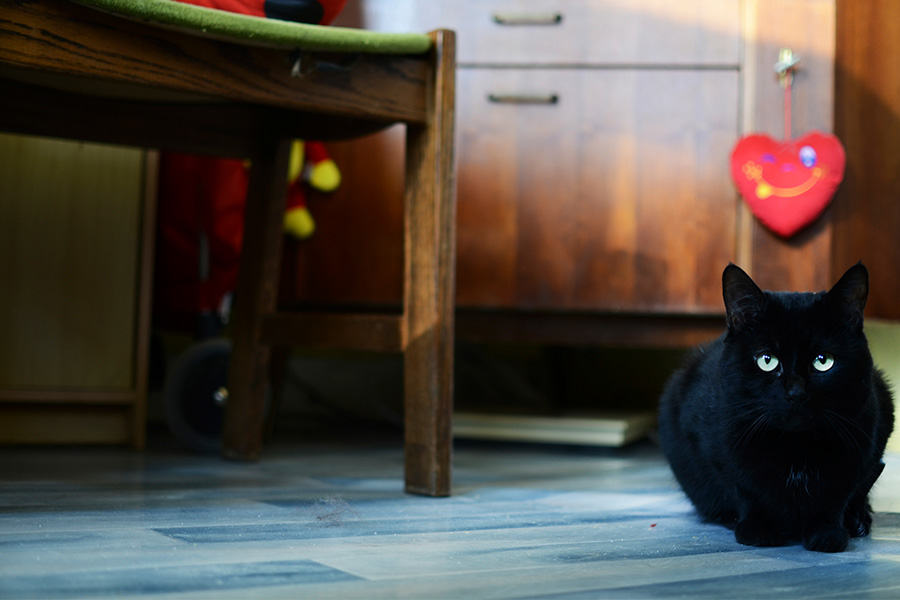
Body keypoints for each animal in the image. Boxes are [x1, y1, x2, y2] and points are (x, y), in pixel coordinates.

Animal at [656, 262, 896, 552]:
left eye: (823, 361)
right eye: (767, 360)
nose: (795, 393)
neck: (795, 448)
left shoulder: (863, 439)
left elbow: (837, 494)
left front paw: (827, 532)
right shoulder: (713, 446)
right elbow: (744, 488)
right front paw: (757, 529)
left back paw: (859, 519)